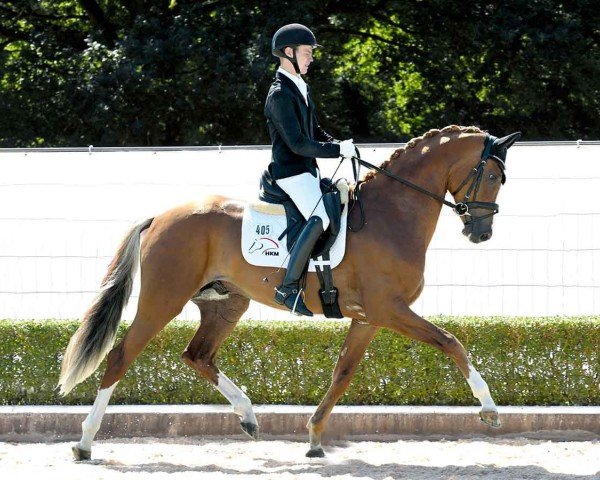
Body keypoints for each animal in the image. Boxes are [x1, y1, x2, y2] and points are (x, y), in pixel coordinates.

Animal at [59, 125, 520, 460]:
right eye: (492, 176)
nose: (481, 233)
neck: (393, 213)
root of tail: (160, 216)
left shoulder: (369, 317)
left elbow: (342, 373)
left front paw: (314, 438)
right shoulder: (389, 309)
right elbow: (451, 341)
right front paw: (489, 408)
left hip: (227, 303)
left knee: (198, 355)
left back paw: (248, 417)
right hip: (164, 299)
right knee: (121, 356)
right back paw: (84, 442)